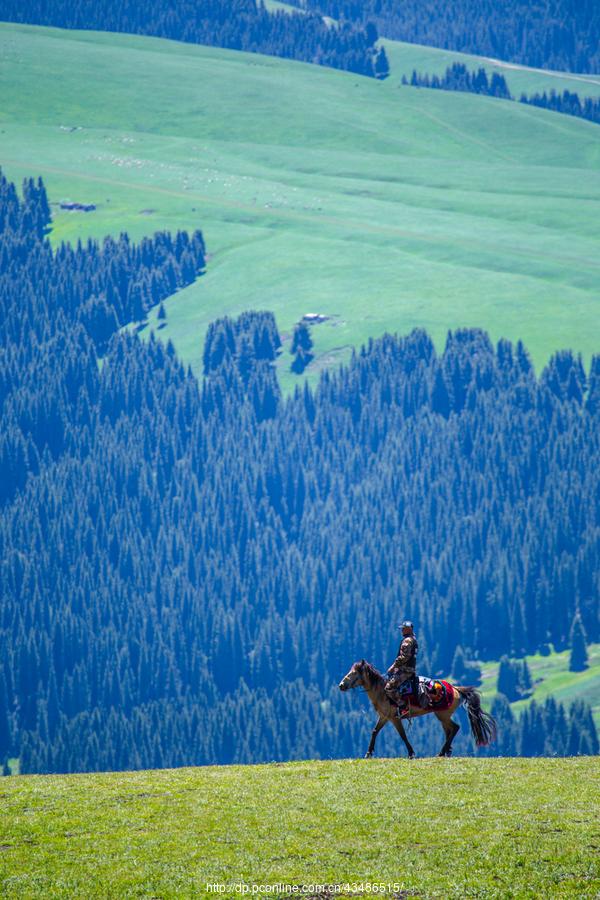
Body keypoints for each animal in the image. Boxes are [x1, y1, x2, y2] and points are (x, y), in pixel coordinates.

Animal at [338, 656, 496, 756]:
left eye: (353, 673)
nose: (341, 685)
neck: (382, 692)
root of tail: (456, 689)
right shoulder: (384, 717)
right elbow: (374, 732)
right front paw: (369, 753)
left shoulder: (394, 718)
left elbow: (402, 735)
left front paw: (411, 753)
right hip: (442, 716)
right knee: (450, 731)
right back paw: (445, 751)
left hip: (442, 715)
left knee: (455, 728)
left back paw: (441, 752)